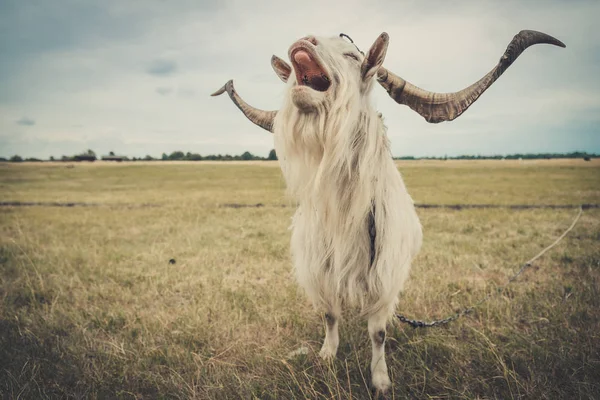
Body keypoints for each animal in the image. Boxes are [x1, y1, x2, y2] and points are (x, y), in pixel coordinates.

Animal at [213, 29, 564, 392]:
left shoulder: (384, 277)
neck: (345, 208)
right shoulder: (319, 271)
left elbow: (378, 332)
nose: (304, 39)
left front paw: (380, 380)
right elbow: (329, 315)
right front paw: (327, 355)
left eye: (352, 55)